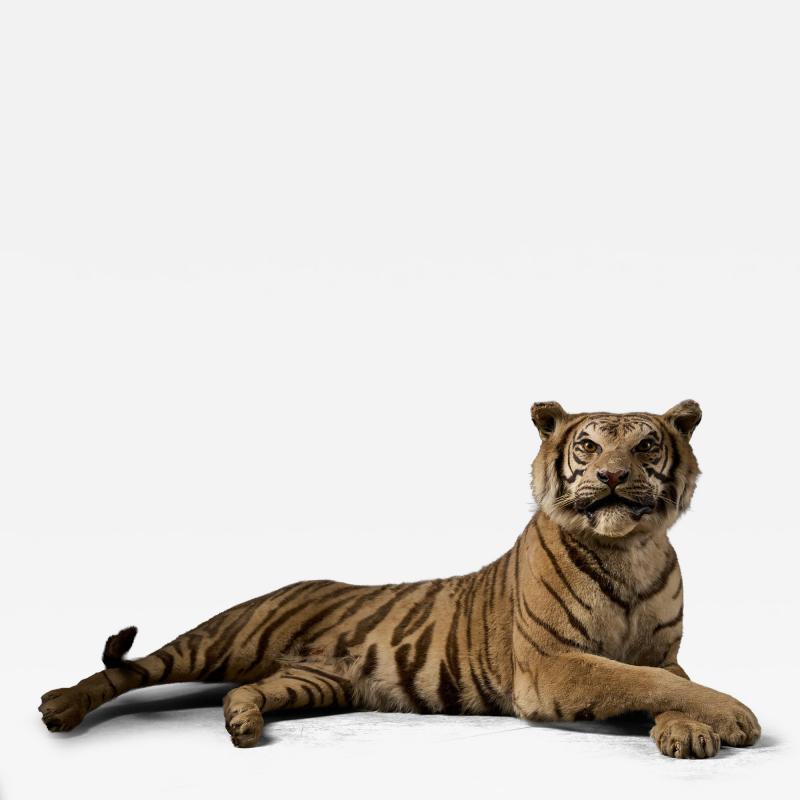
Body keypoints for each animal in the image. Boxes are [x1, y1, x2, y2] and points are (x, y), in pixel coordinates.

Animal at [39, 399, 760, 758]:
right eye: (588, 445)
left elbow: (667, 683)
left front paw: (689, 730)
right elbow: (638, 682)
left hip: (314, 681)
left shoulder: (661, 652)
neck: (628, 549)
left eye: (645, 444)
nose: (611, 475)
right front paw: (733, 717)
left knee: (243, 691)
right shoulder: (551, 663)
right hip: (224, 636)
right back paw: (60, 707)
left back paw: (242, 723)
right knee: (133, 667)